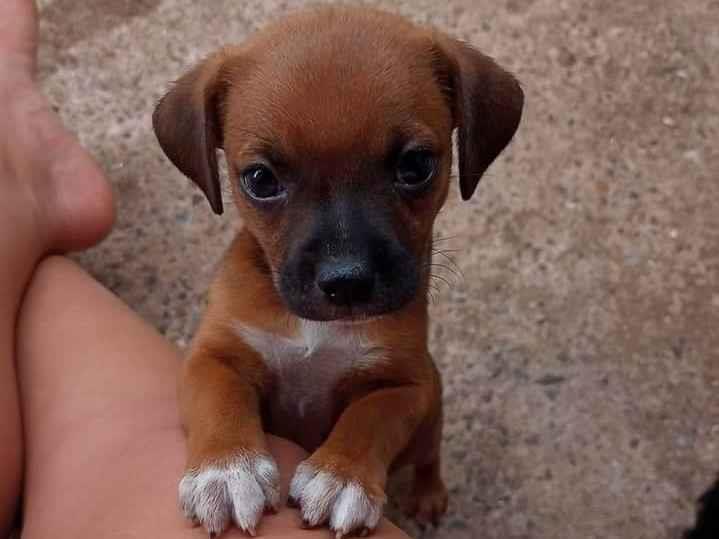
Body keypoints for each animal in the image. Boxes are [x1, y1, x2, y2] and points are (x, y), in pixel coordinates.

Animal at [153, 6, 523, 538]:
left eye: (416, 165)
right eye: (260, 179)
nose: (346, 281)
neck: (318, 332)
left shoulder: (406, 385)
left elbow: (369, 417)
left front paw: (342, 476)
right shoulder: (213, 356)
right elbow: (220, 398)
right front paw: (226, 470)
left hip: (433, 411)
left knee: (429, 457)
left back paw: (428, 496)